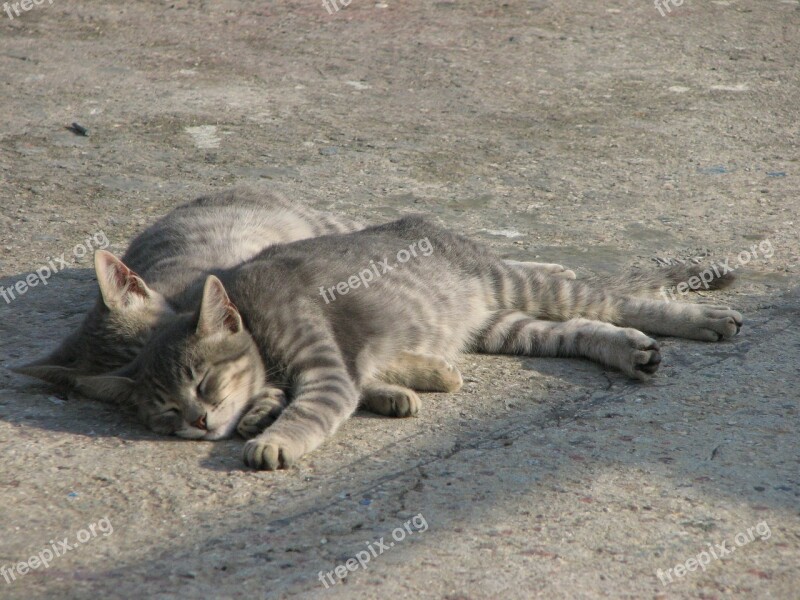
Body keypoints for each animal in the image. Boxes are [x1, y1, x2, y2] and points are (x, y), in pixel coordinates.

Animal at [75, 218, 736, 472]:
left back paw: (699, 316)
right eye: (165, 412)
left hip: (522, 287)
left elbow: (314, 408)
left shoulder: (327, 369)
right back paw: (631, 351)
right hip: (506, 327)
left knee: (615, 299)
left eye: (204, 384)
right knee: (584, 330)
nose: (197, 421)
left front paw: (274, 437)